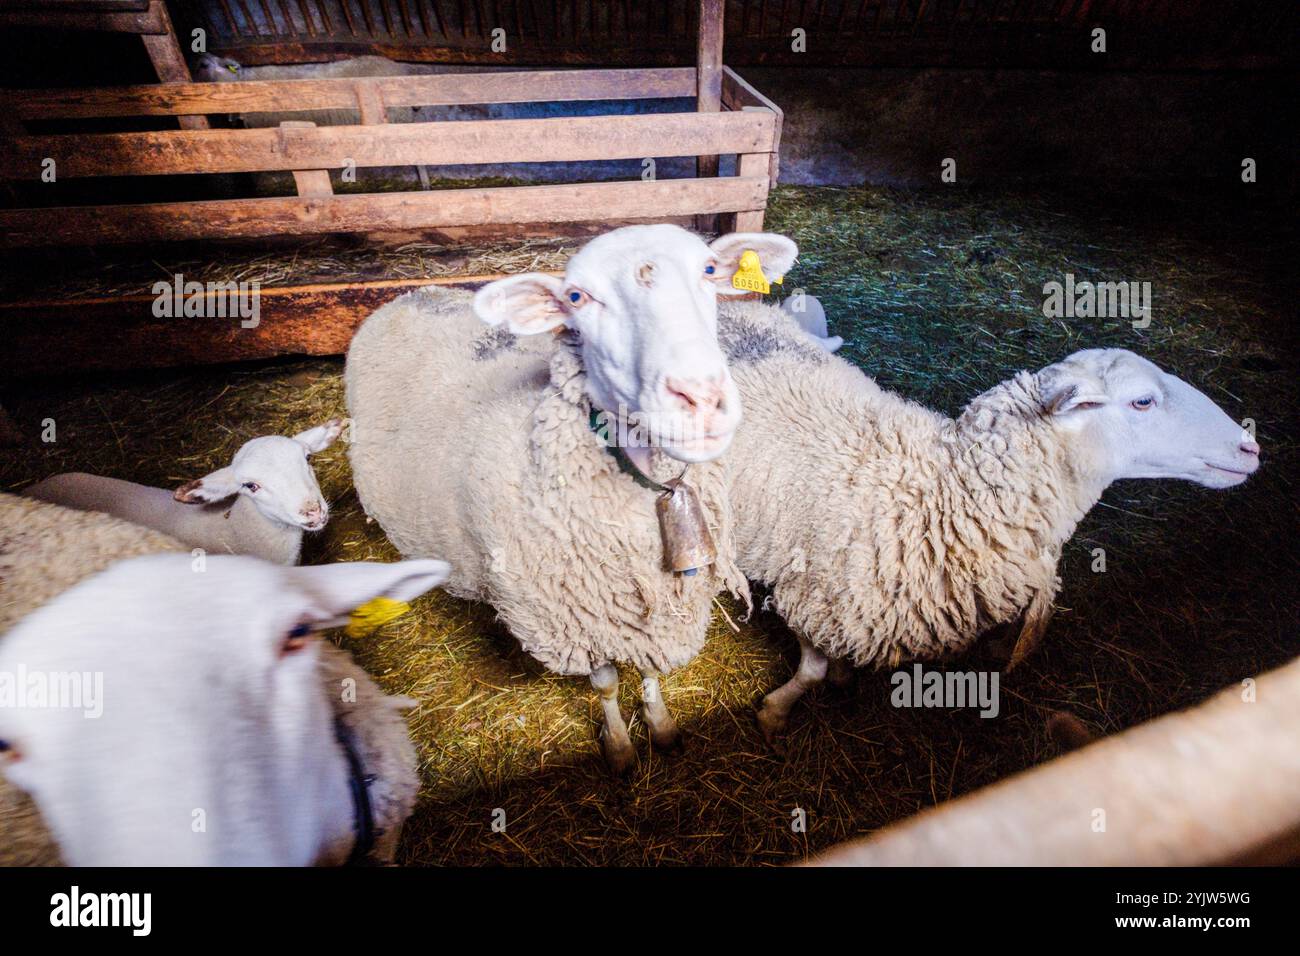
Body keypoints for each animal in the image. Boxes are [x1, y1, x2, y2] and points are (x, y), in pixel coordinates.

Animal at [340, 222, 795, 770]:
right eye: (577, 297)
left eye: (709, 270)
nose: (700, 396)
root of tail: (410, 293)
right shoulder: (574, 620)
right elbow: (605, 685)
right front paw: (619, 748)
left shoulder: (651, 615)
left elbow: (649, 673)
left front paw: (661, 726)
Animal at [717, 303, 1263, 743]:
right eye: (1143, 401)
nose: (1250, 447)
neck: (943, 494)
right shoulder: (815, 598)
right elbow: (809, 670)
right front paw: (775, 714)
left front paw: (840, 678)